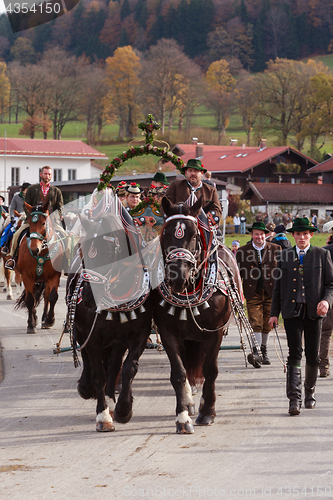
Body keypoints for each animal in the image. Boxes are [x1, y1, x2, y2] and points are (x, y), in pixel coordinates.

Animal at [15, 201, 63, 334]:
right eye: (30, 223)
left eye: (43, 223)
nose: (34, 249)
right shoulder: (27, 277)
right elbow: (30, 300)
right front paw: (31, 324)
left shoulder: (54, 276)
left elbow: (53, 297)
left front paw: (50, 320)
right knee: (32, 297)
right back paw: (35, 318)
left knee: (46, 296)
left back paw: (44, 319)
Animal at [68, 209, 153, 432]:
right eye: (83, 253)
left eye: (107, 253)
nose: (88, 296)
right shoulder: (92, 336)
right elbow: (98, 374)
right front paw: (103, 415)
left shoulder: (139, 334)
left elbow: (128, 368)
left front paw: (123, 408)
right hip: (82, 331)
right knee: (89, 360)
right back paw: (86, 387)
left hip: (117, 341)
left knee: (114, 366)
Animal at [152, 195, 236, 434]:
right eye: (166, 234)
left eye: (194, 235)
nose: (177, 276)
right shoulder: (168, 333)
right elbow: (179, 373)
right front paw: (182, 417)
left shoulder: (215, 333)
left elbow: (210, 370)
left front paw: (207, 412)